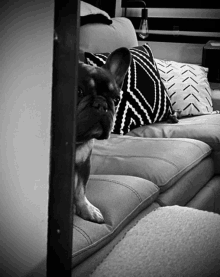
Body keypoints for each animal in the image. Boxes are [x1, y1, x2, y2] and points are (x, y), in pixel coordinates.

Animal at [75, 47, 131, 223]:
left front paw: (86, 209)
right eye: (78, 91)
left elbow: (80, 189)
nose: (101, 104)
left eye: (116, 99)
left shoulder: (84, 164)